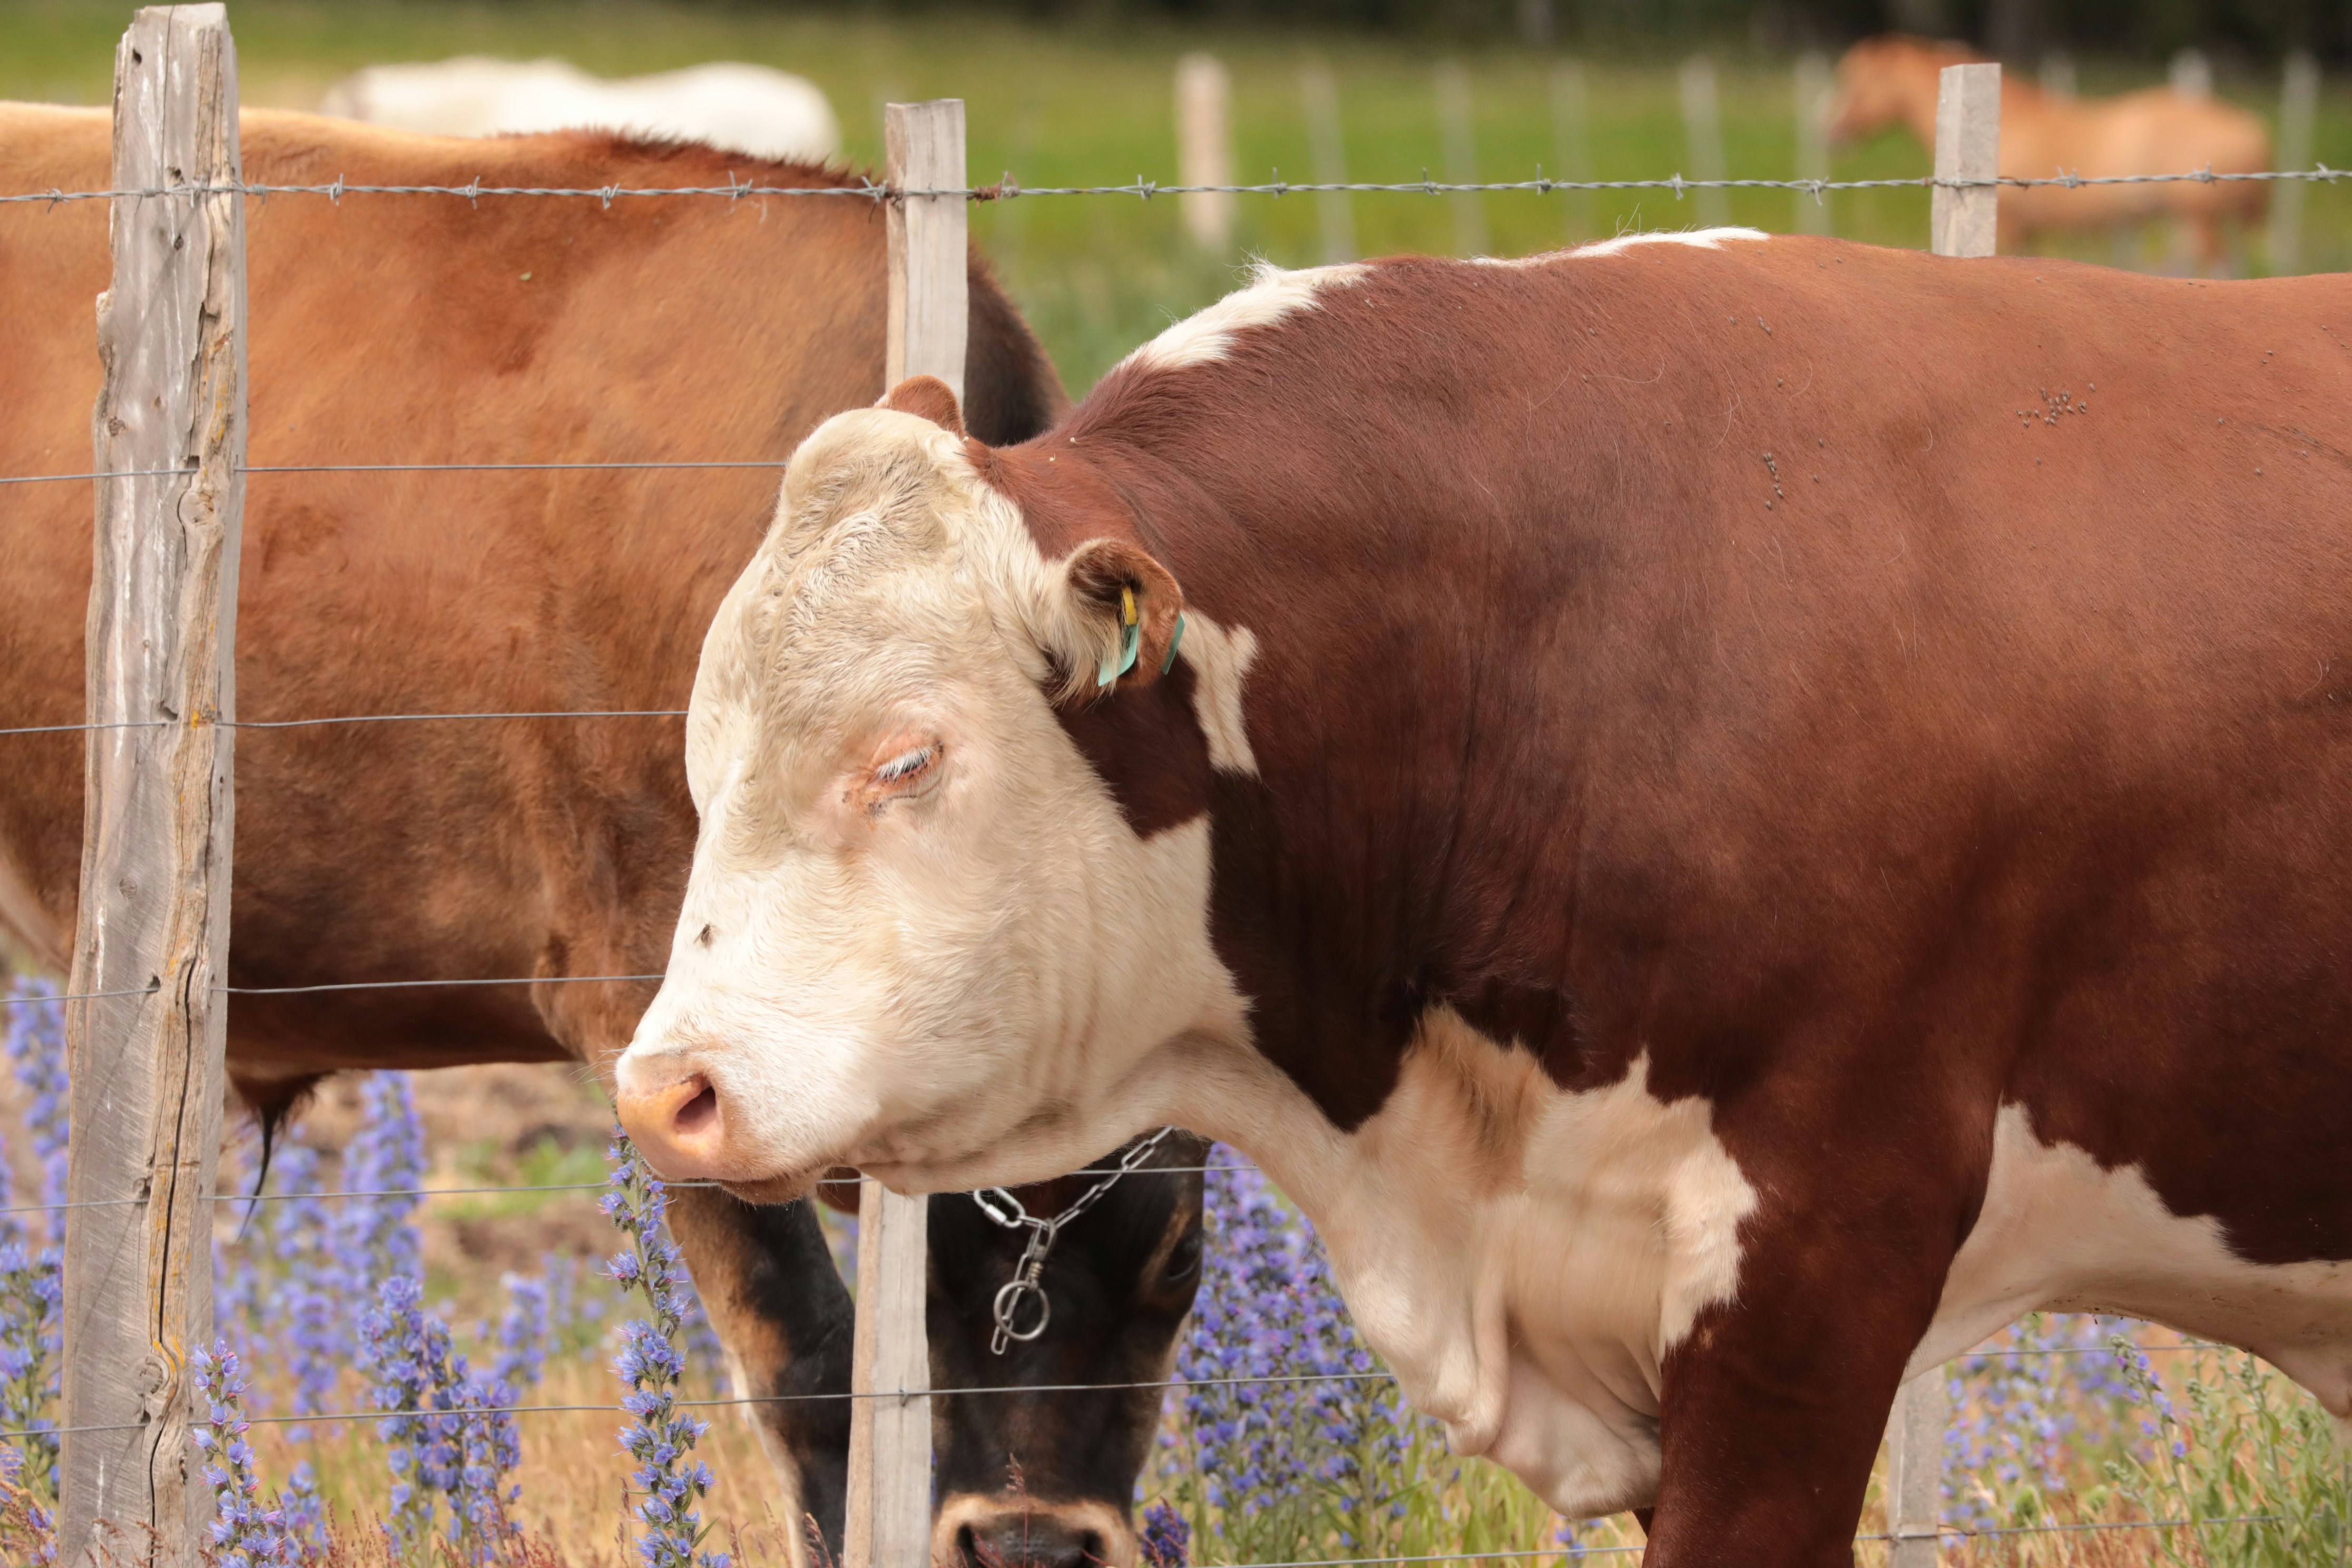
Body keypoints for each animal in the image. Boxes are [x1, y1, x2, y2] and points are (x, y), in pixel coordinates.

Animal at [1828, 35, 2270, 270]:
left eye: (1858, 81)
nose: (1829, 129)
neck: (2015, 118)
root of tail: (2249, 127)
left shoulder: (2012, 224)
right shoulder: (2031, 231)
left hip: (2198, 221)